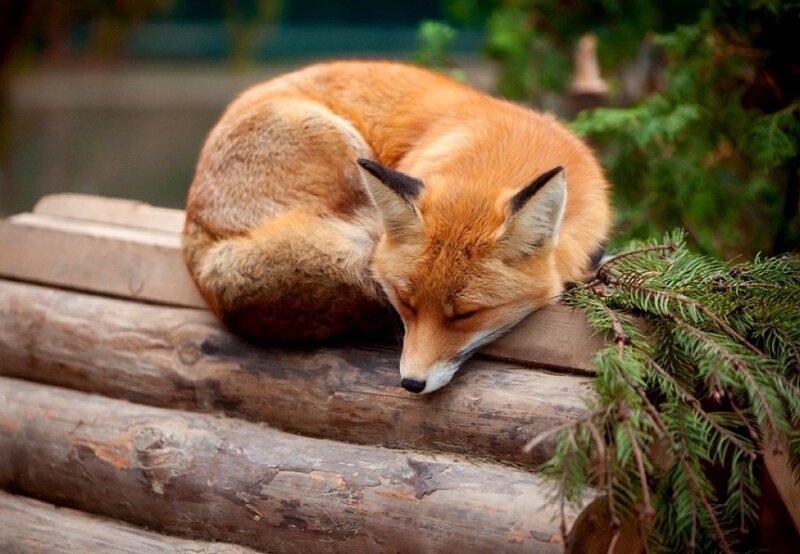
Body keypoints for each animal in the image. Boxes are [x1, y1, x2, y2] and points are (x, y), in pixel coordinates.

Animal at [183, 60, 611, 394]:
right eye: (405, 303)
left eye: (466, 315)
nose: (411, 383)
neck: (506, 153)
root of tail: (198, 242)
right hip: (342, 147)